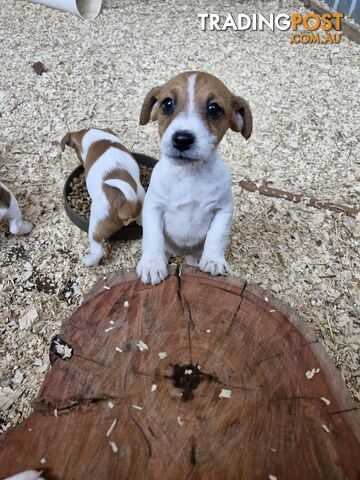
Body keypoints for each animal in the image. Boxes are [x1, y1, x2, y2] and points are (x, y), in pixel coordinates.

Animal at [136, 69, 252, 284]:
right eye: (167, 103)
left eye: (214, 109)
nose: (182, 139)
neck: (189, 175)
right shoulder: (153, 207)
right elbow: (153, 237)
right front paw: (152, 264)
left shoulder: (222, 210)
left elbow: (217, 236)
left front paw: (213, 260)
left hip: (193, 253)